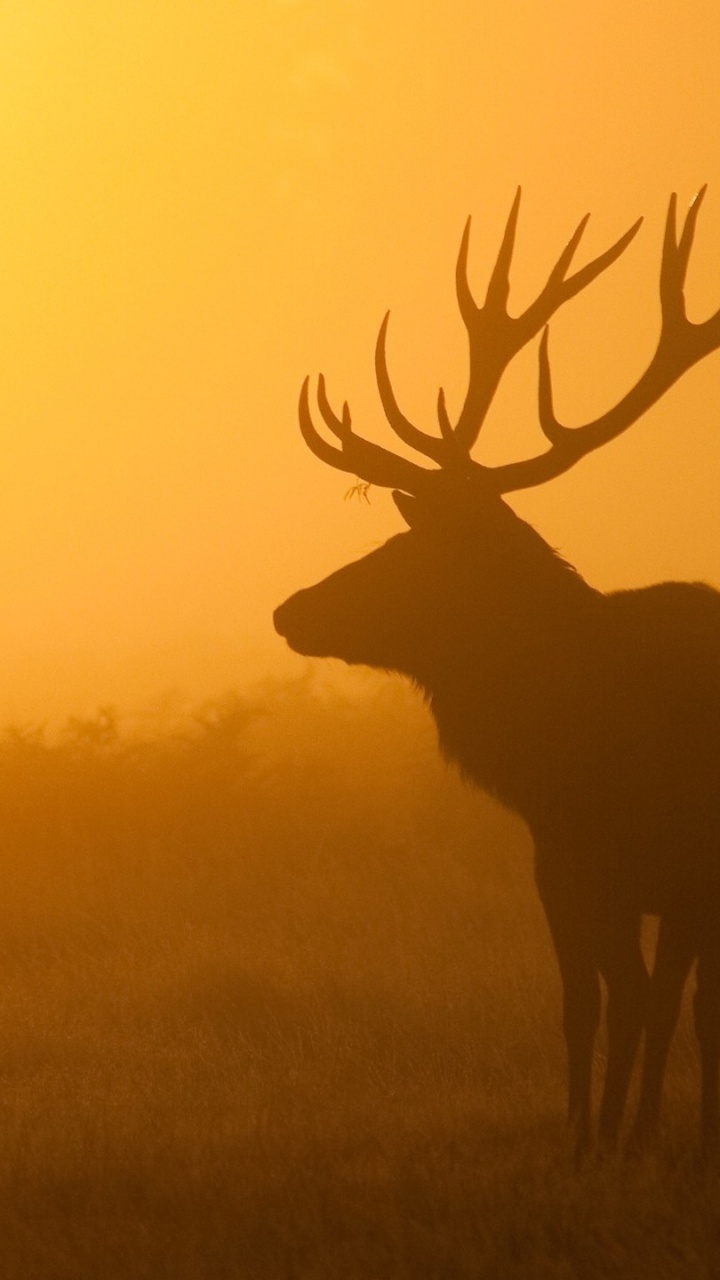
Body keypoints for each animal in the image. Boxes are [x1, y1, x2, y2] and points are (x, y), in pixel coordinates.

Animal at [273, 188, 720, 1161]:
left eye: (409, 550)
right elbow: (611, 1003)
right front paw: (611, 1137)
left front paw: (609, 1145)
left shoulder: (626, 862)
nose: (289, 610)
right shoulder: (591, 866)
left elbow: (635, 1001)